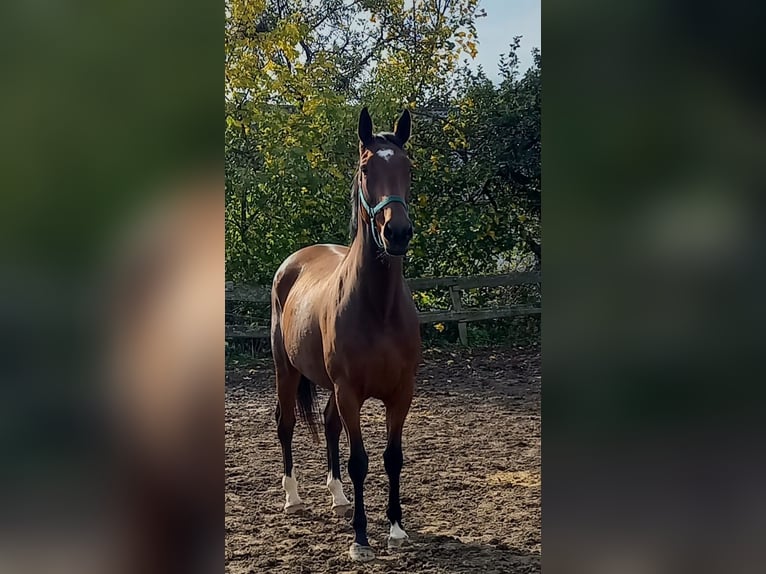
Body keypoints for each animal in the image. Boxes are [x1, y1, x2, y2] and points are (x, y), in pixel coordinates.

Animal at [272, 107, 424, 564]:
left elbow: (393, 458)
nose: (397, 233)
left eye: (408, 168)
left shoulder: (401, 392)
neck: (378, 308)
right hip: (286, 371)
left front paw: (395, 530)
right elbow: (360, 461)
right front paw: (360, 539)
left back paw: (338, 497)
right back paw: (293, 498)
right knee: (285, 424)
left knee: (327, 425)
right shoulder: (350, 391)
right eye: (366, 168)